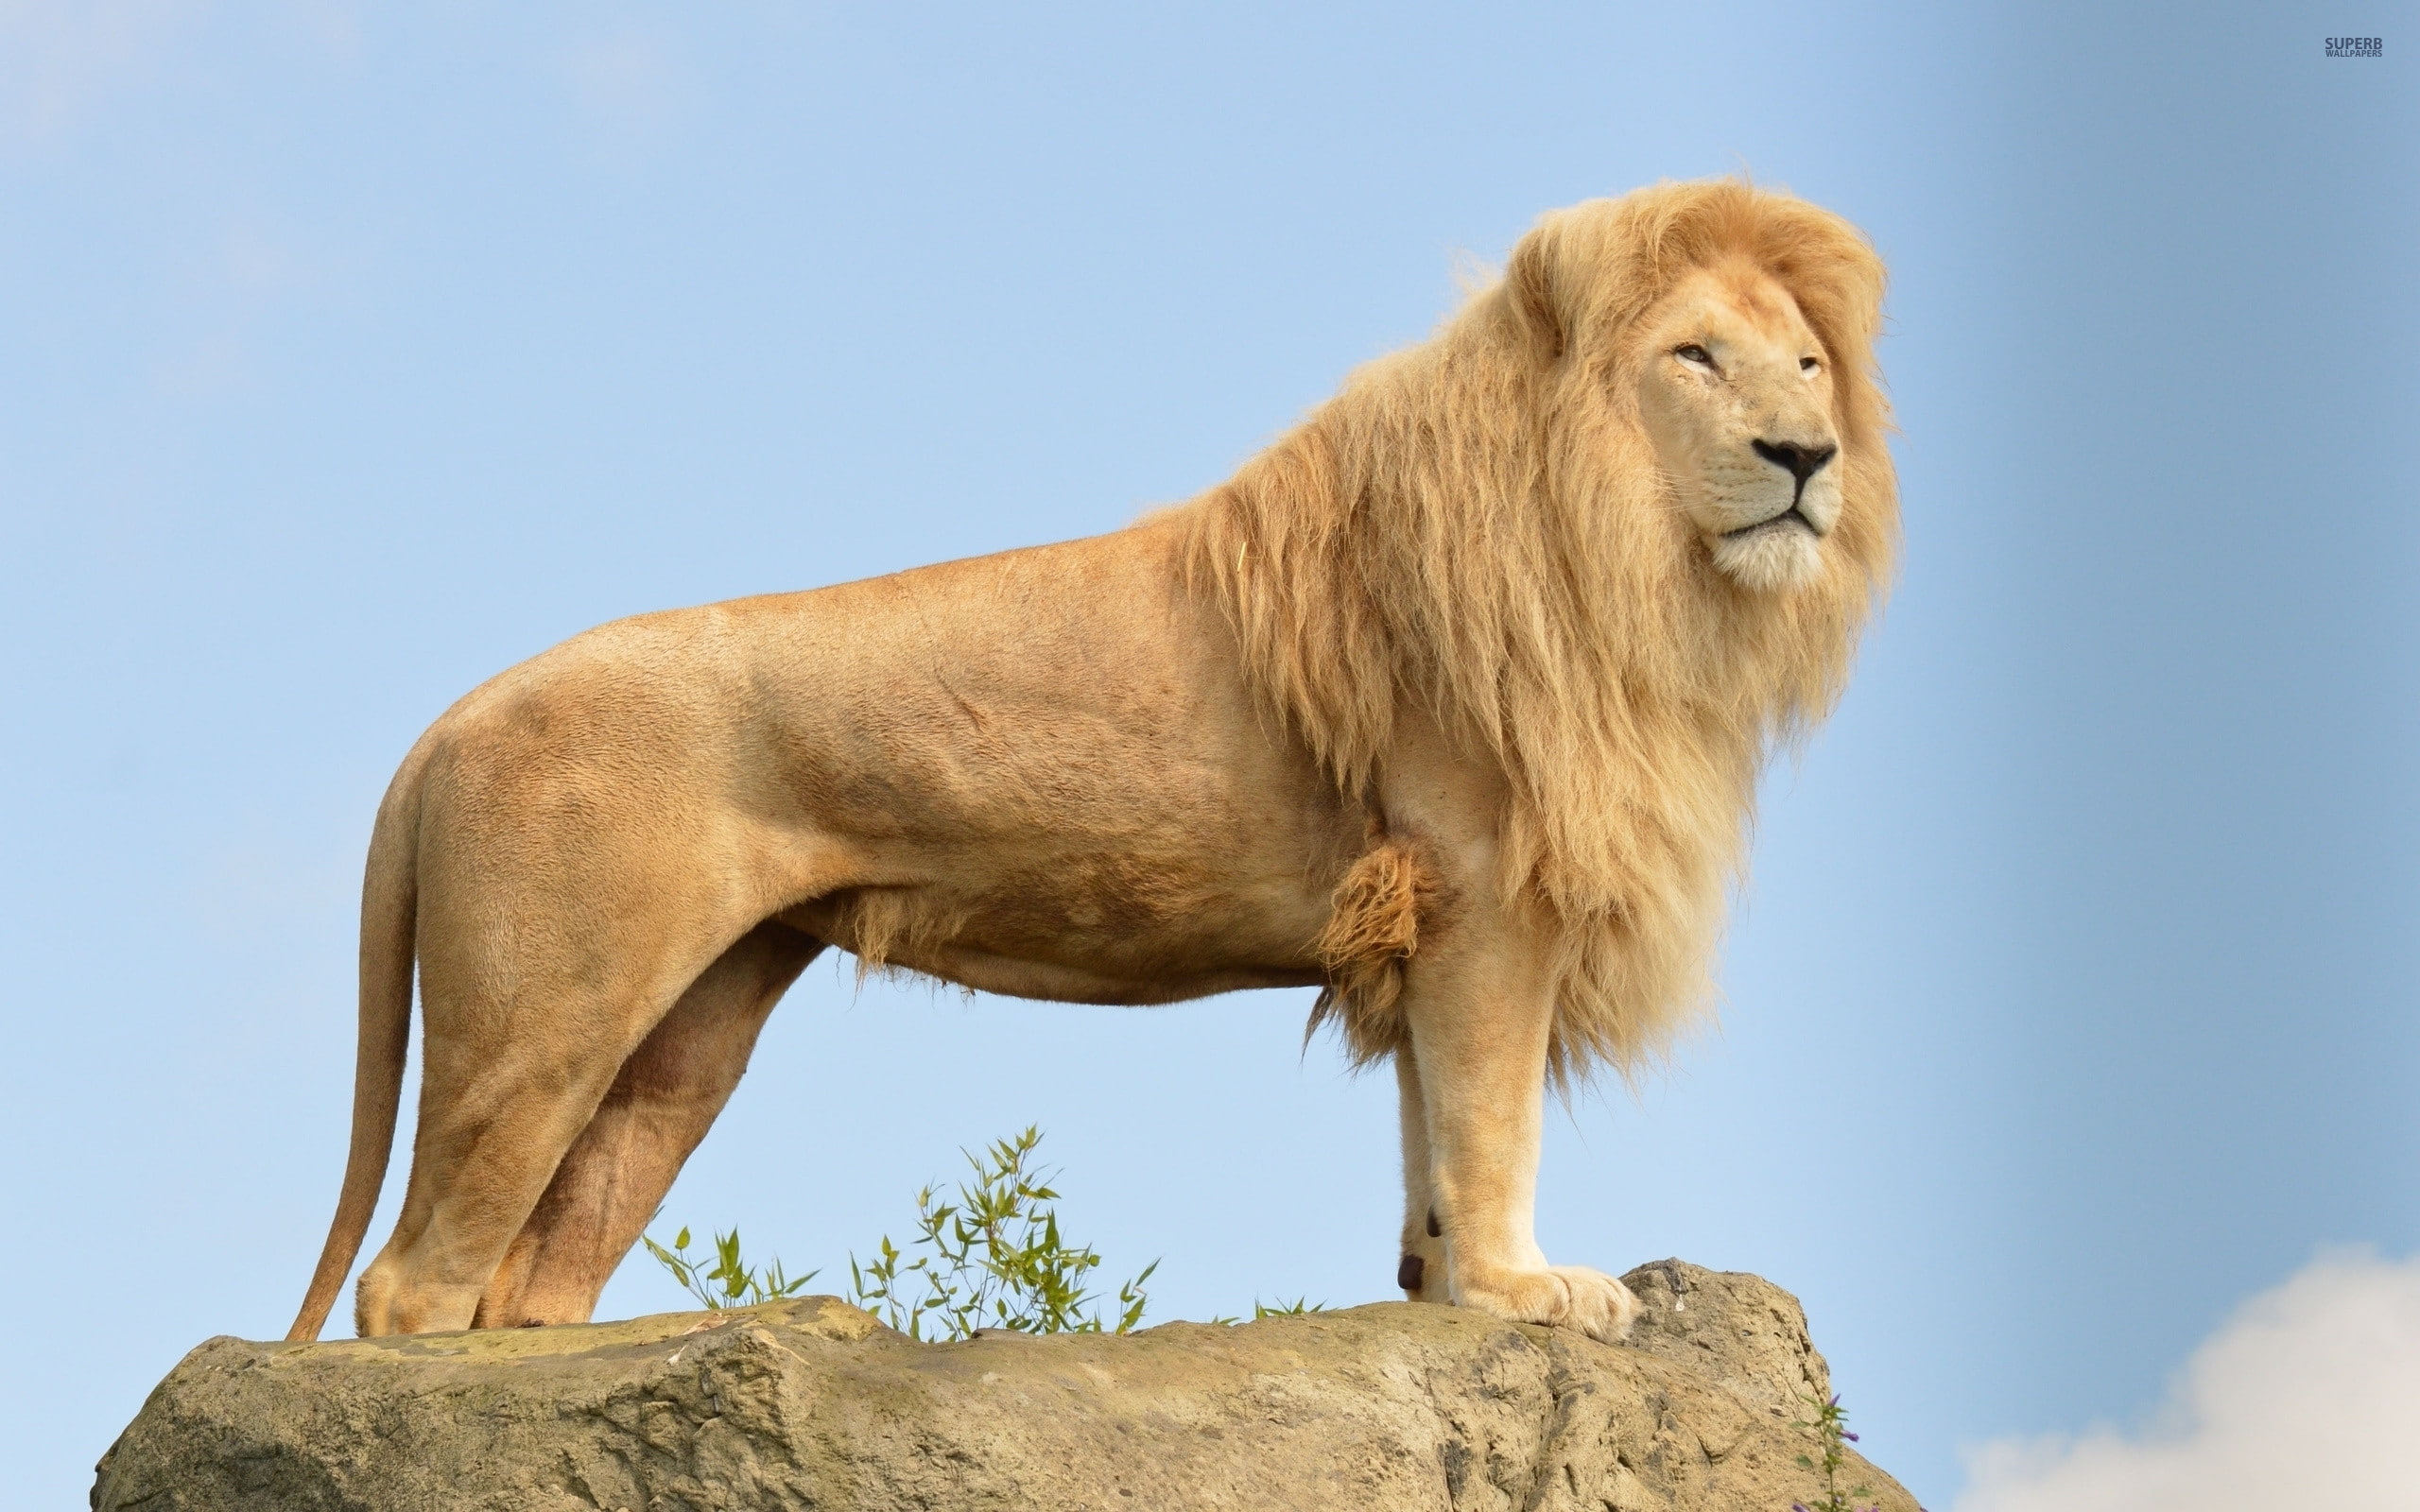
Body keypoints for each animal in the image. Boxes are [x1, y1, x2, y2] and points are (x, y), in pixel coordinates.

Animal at [288, 178, 1896, 1345]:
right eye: (1696, 356)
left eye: (1810, 365)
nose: (1806, 455)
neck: (1637, 569)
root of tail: (451, 718)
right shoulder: (1486, 889)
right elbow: (1490, 1118)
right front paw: (1527, 1290)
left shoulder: (1427, 917)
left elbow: (1431, 1129)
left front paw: (1442, 1285)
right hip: (545, 1016)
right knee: (414, 1284)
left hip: (685, 1034)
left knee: (533, 1277)